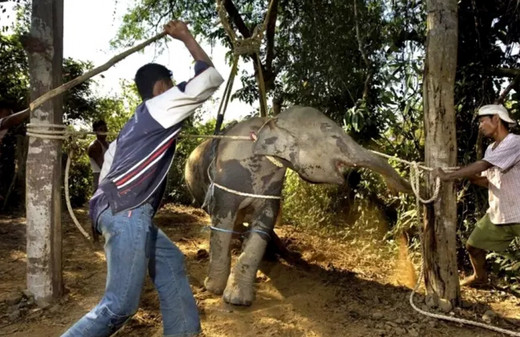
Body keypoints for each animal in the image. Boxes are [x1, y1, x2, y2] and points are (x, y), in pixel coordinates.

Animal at [185, 105, 412, 304]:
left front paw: (238, 299)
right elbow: (222, 223)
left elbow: (263, 225)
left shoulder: (272, 187)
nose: (398, 189)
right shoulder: (226, 180)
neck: (269, 122)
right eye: (331, 133)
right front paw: (214, 289)